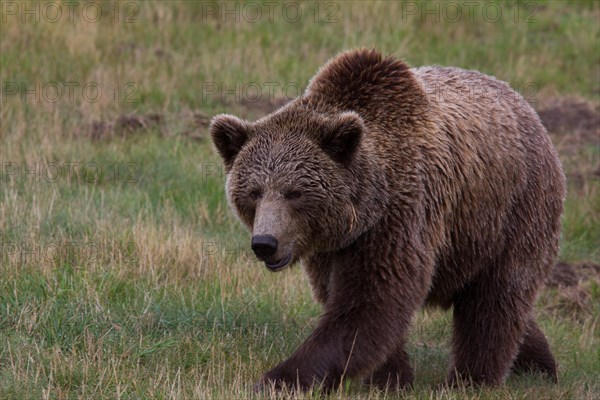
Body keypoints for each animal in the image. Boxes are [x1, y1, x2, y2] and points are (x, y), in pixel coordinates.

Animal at [209, 48, 564, 392]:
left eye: (294, 192)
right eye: (254, 192)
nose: (265, 243)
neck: (363, 212)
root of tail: (526, 108)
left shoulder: (399, 215)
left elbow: (369, 303)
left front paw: (280, 378)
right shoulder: (330, 249)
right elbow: (349, 302)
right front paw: (391, 377)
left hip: (510, 211)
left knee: (495, 300)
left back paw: (471, 379)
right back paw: (538, 364)